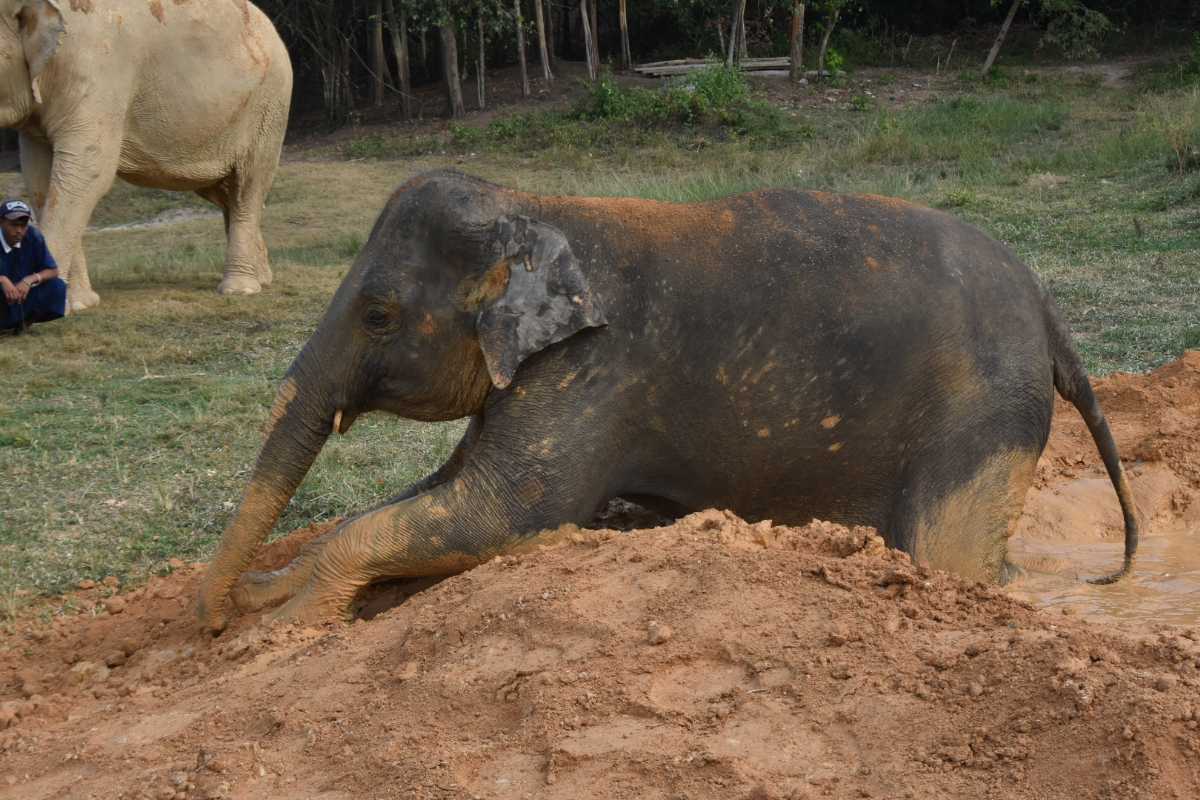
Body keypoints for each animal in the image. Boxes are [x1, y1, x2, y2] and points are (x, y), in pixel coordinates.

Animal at [0, 0, 290, 309]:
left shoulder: (96, 70)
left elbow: (87, 172)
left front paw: (47, 307)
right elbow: (40, 180)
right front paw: (79, 304)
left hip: (268, 108)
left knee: (248, 185)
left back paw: (240, 289)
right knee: (225, 194)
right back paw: (263, 278)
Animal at [194, 169, 1132, 633]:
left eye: (379, 314)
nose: (213, 618)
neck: (543, 207)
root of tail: (1047, 306)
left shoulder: (593, 371)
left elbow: (504, 516)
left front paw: (283, 625)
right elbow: (441, 493)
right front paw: (276, 592)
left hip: (983, 415)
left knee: (946, 552)